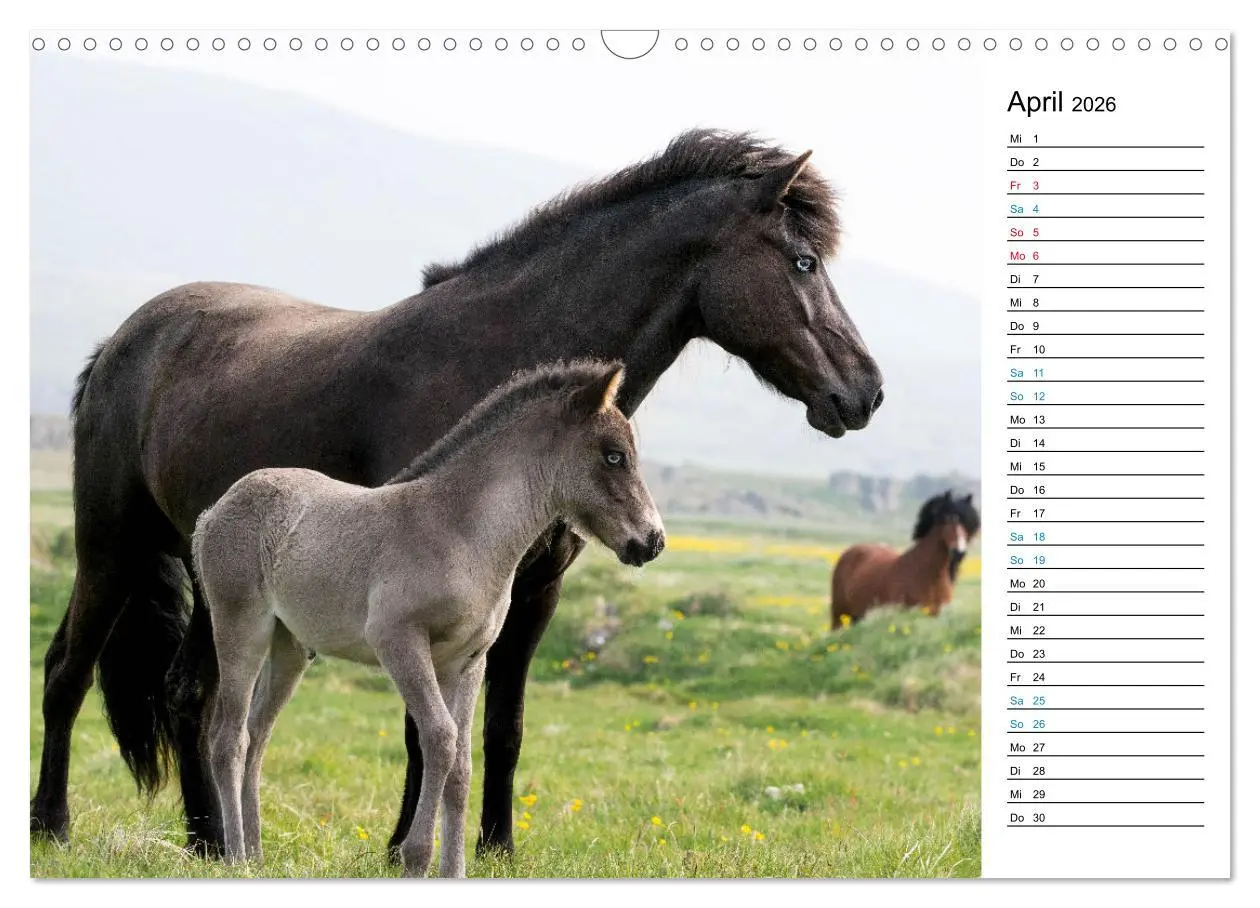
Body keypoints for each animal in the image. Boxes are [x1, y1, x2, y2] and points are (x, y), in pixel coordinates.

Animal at [194, 361, 662, 876]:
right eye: (614, 456)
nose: (653, 541)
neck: (462, 533)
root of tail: (214, 511)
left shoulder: (468, 660)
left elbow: (461, 761)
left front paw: (453, 870)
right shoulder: (399, 642)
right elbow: (438, 738)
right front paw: (415, 857)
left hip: (290, 648)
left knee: (259, 734)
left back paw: (257, 856)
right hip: (241, 628)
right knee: (229, 738)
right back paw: (236, 856)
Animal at [829, 491, 979, 628]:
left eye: (968, 525)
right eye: (947, 520)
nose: (959, 552)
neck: (927, 575)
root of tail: (848, 552)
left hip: (857, 616)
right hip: (839, 615)